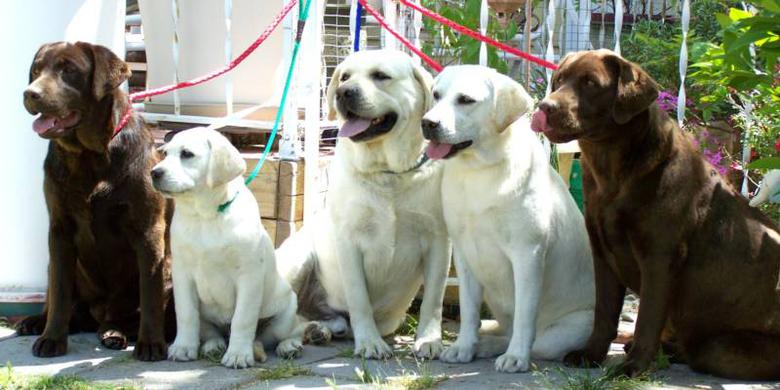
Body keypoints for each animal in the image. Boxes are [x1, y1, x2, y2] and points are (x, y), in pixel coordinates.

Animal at [19, 41, 174, 362]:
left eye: (69, 70)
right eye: (36, 70)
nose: (30, 93)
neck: (89, 155)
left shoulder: (148, 230)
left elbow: (150, 295)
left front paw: (151, 343)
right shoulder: (59, 229)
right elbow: (60, 291)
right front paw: (52, 338)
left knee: (122, 315)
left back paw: (114, 333)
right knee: (57, 293)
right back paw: (38, 321)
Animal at [151, 128, 310, 368]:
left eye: (186, 154)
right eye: (165, 153)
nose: (154, 173)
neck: (205, 216)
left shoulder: (249, 276)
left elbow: (242, 319)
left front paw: (238, 354)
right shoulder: (182, 274)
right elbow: (186, 313)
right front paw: (183, 347)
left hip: (285, 311)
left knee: (286, 332)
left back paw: (289, 346)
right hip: (207, 317)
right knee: (213, 332)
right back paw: (213, 345)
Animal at [278, 50, 450, 362]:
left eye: (381, 76)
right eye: (345, 76)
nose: (344, 93)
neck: (388, 172)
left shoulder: (438, 242)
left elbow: (433, 299)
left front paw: (429, 340)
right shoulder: (349, 241)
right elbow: (359, 299)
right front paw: (369, 342)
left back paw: (318, 330)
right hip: (298, 260)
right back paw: (289, 343)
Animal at [424, 65, 596, 374]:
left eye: (465, 100)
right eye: (436, 95)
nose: (427, 123)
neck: (480, 171)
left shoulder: (528, 254)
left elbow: (525, 314)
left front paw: (516, 356)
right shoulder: (465, 256)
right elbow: (468, 310)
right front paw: (463, 347)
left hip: (568, 329)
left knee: (533, 340)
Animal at [532, 49, 780, 380]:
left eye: (590, 83)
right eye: (559, 80)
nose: (545, 106)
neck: (612, 172)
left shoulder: (659, 257)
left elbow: (647, 319)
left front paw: (634, 366)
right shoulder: (602, 253)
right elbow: (604, 313)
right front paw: (591, 354)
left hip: (721, 348)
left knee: (698, 350)